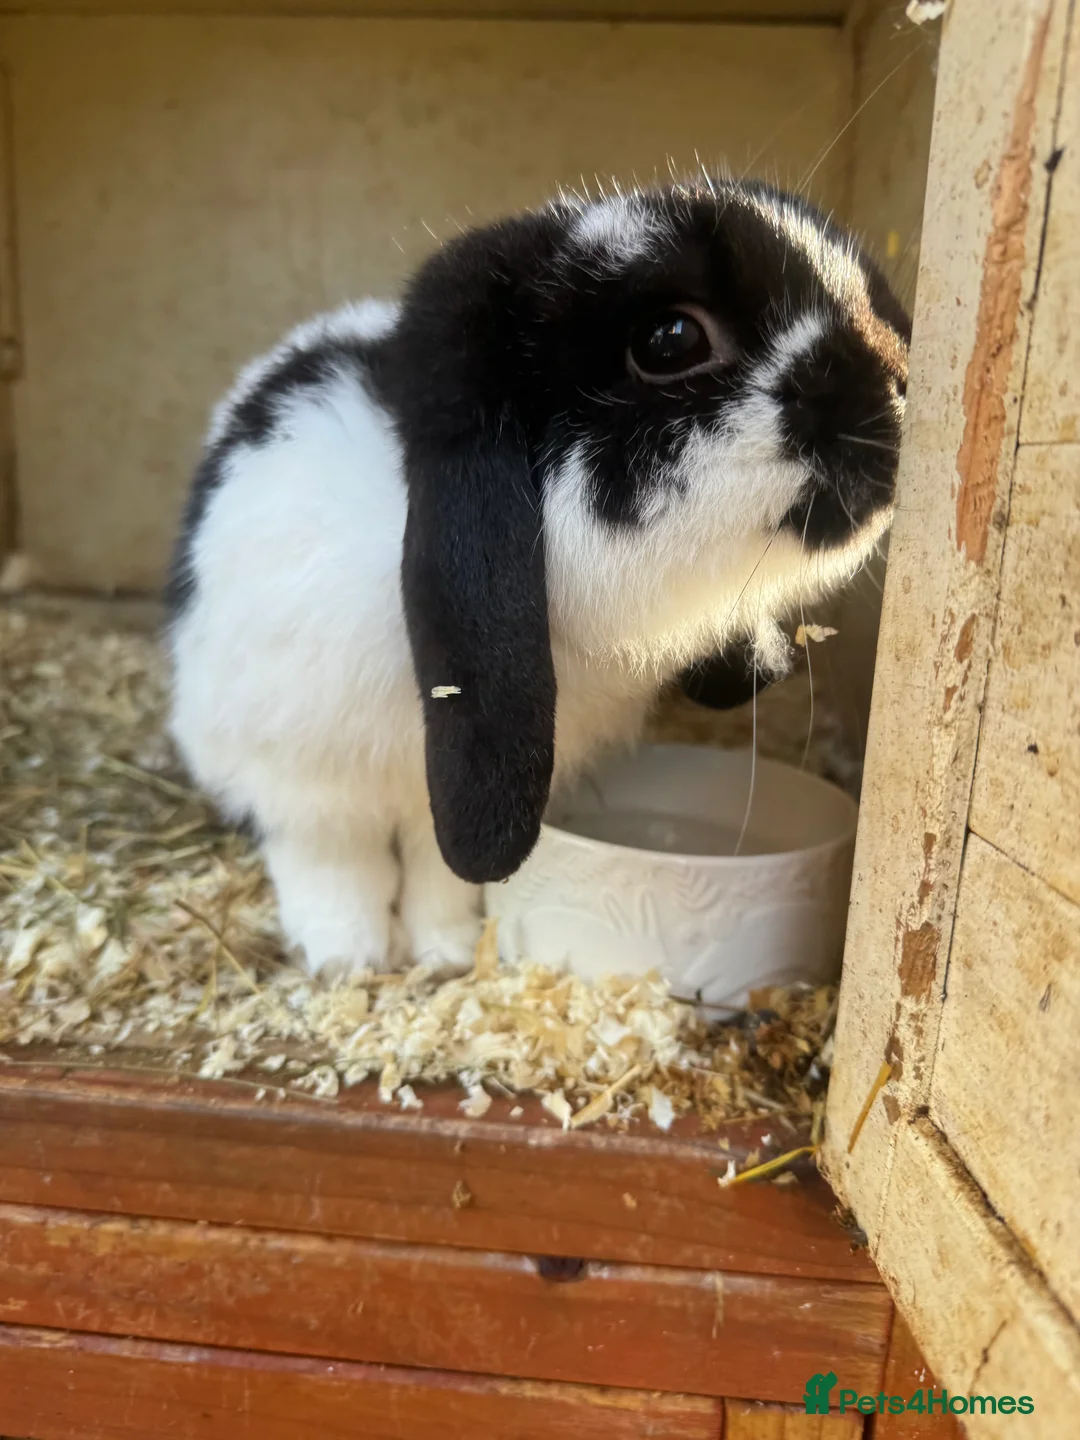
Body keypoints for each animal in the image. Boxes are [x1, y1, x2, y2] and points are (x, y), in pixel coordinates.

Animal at [165, 179, 909, 979]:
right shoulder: (301, 782)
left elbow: (438, 870)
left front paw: (445, 953)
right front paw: (349, 958)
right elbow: (332, 866)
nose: (903, 386)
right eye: (670, 340)